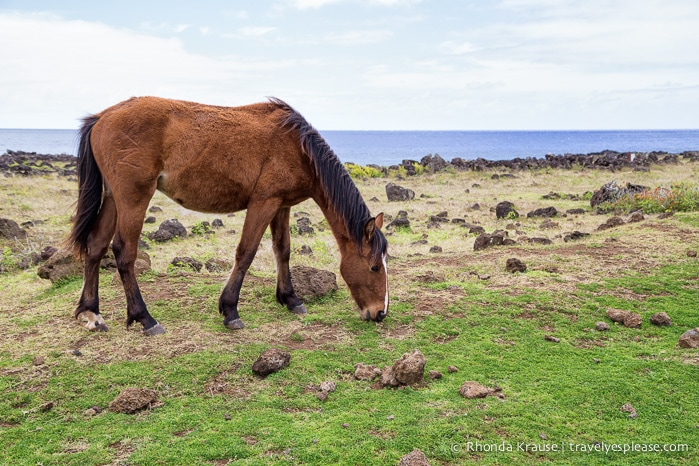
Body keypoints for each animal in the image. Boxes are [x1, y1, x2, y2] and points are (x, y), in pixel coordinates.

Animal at [68, 96, 392, 334]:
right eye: (375, 267)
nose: (380, 313)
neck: (298, 148)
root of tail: (102, 117)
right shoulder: (263, 203)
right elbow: (246, 253)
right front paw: (230, 310)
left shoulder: (282, 205)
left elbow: (283, 250)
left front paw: (290, 299)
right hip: (133, 198)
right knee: (124, 252)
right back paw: (145, 318)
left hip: (113, 198)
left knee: (96, 246)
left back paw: (92, 313)